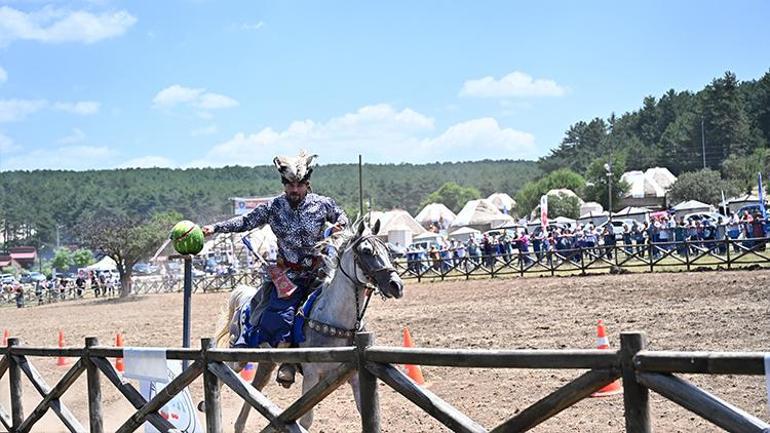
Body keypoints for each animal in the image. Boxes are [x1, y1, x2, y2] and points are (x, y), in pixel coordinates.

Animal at [210, 221, 402, 430]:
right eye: (366, 251)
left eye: (388, 250)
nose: (396, 285)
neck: (336, 320)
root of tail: (245, 300)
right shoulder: (311, 375)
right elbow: (306, 421)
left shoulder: (355, 375)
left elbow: (364, 412)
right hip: (239, 354)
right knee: (228, 371)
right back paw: (206, 405)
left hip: (266, 362)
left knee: (254, 388)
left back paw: (238, 424)